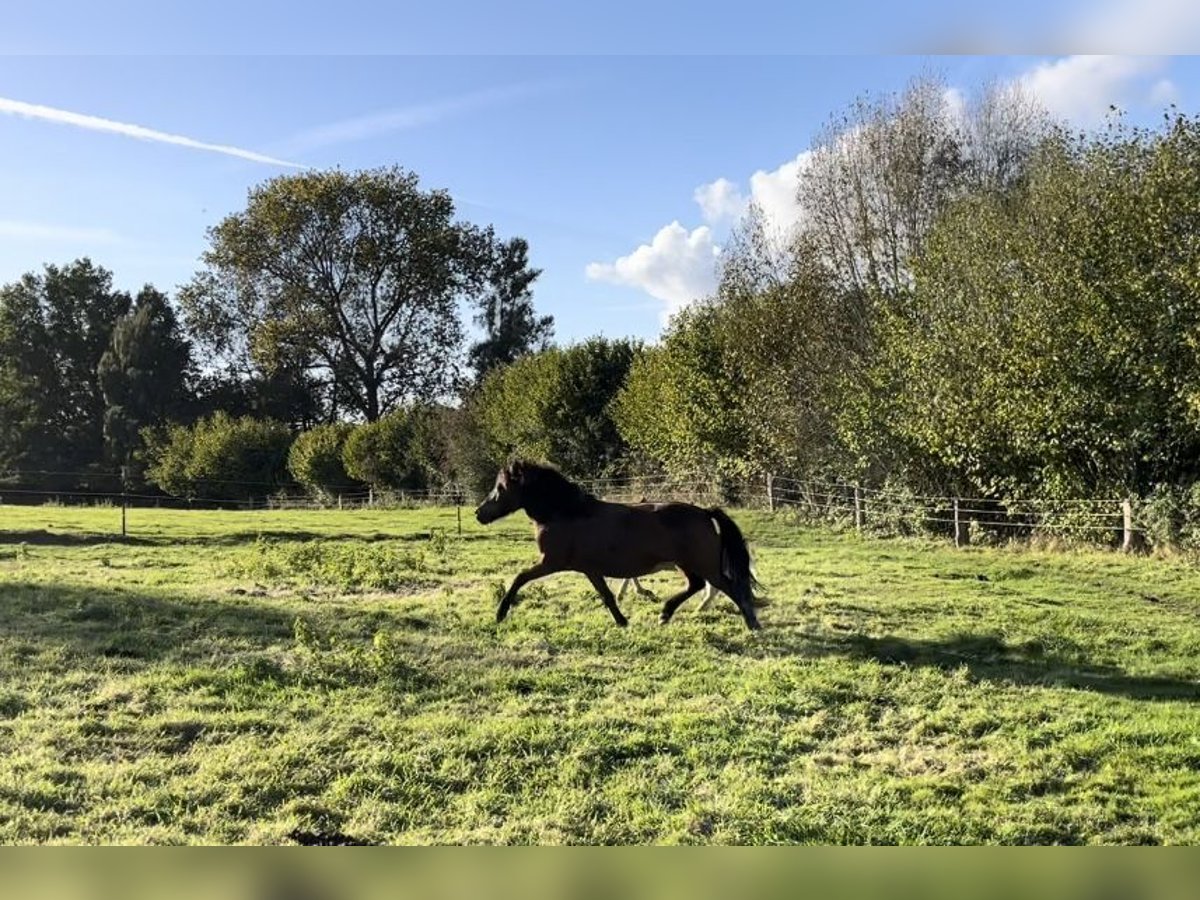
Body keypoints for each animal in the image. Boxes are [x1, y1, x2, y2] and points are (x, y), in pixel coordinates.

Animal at [470, 460, 758, 628]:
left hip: (702, 564)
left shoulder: (551, 563)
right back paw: (664, 614)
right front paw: (622, 621)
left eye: (501, 487)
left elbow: (519, 578)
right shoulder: (590, 569)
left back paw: (753, 624)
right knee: (697, 585)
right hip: (686, 564)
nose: (478, 514)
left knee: (729, 587)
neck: (566, 513)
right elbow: (607, 595)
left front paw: (500, 613)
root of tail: (705, 512)